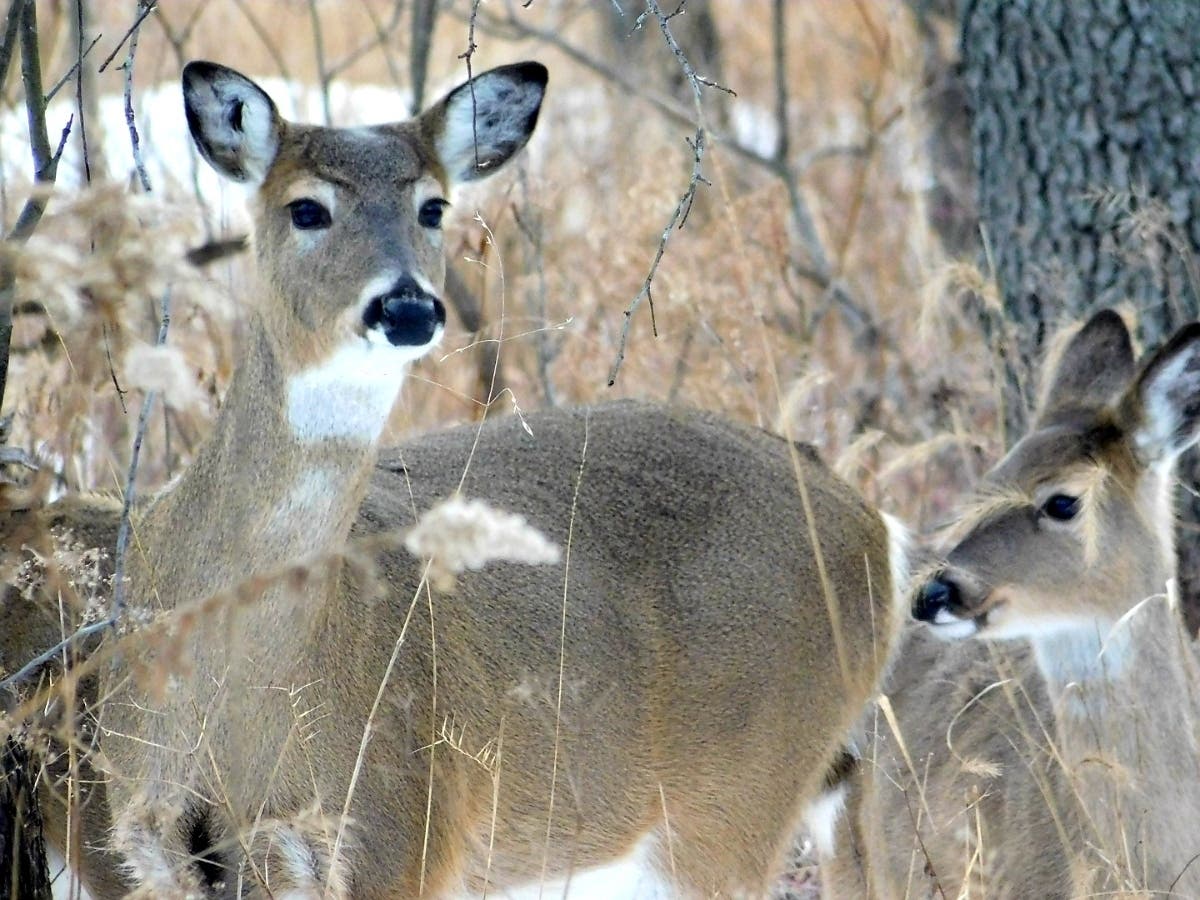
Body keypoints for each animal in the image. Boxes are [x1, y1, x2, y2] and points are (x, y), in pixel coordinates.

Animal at [0, 58, 916, 899]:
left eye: (432, 206)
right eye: (307, 208)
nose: (407, 307)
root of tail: (878, 528)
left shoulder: (400, 824)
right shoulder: (150, 840)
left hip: (735, 798)